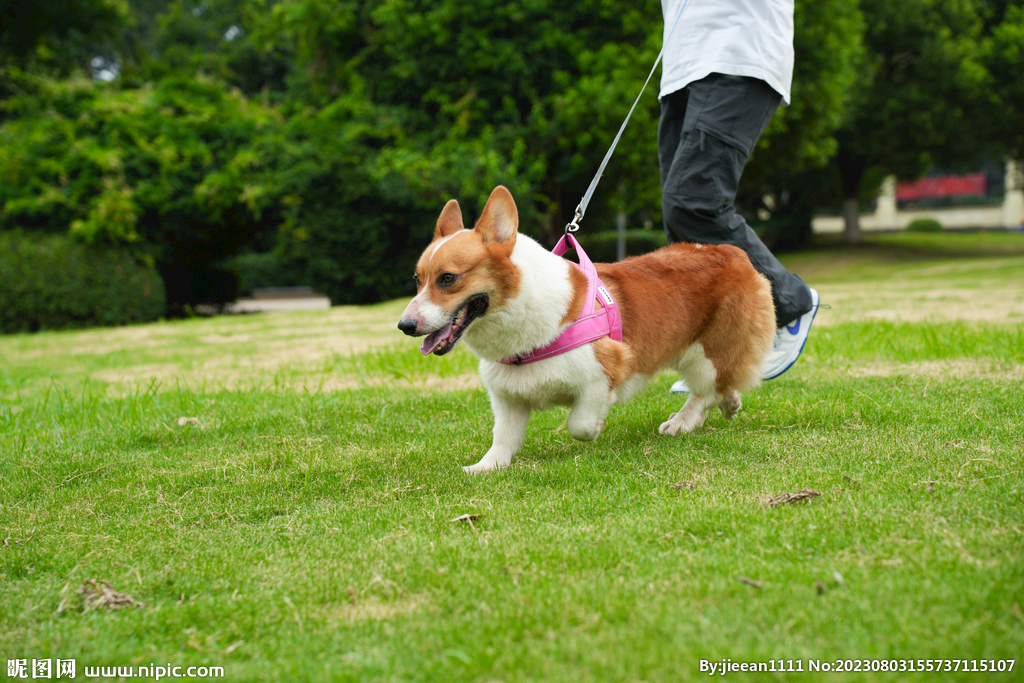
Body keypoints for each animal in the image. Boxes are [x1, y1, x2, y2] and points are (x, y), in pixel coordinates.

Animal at [395, 187, 770, 475]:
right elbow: (502, 439)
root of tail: (730, 251)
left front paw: (598, 427)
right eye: (417, 279)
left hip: (704, 352)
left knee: (705, 390)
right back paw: (729, 403)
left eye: (448, 278)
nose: (405, 326)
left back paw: (682, 421)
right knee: (721, 386)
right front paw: (484, 467)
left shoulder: (602, 375)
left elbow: (580, 424)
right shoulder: (508, 399)